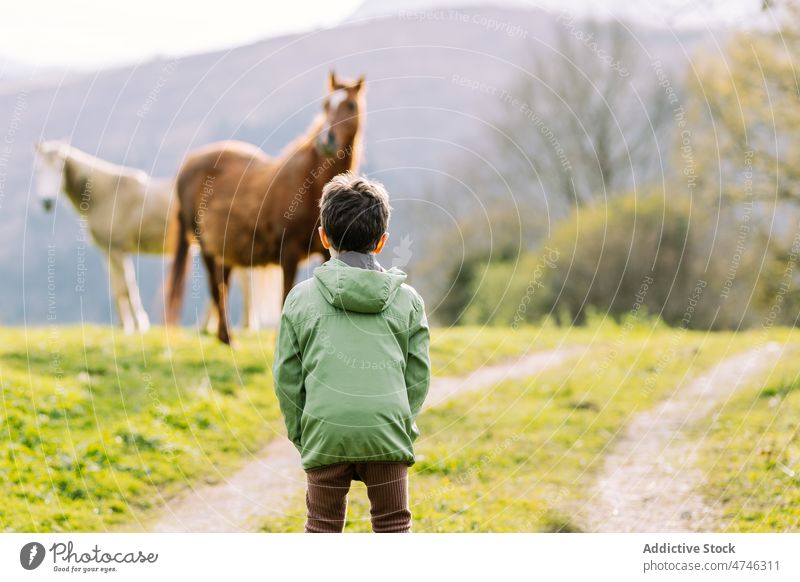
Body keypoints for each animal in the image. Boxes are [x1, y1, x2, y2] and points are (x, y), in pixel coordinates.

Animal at [35, 140, 282, 336]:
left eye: (59, 168)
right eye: (38, 168)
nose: (46, 202)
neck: (107, 194)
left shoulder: (117, 250)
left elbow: (127, 288)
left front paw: (137, 324)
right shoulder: (109, 251)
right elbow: (117, 288)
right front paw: (124, 325)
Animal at [166, 73, 366, 346]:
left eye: (351, 105)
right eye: (325, 105)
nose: (326, 141)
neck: (310, 185)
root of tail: (188, 164)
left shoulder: (327, 254)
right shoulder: (288, 254)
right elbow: (285, 297)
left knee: (222, 286)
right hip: (206, 248)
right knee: (217, 288)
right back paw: (228, 338)